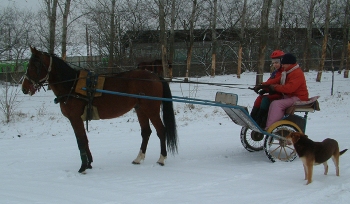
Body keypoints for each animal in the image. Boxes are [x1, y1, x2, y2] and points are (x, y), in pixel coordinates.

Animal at [21, 46, 178, 174]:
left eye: (35, 65)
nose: (24, 88)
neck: (71, 85)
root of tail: (155, 76)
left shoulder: (75, 118)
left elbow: (81, 140)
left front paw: (83, 167)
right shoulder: (77, 119)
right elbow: (84, 140)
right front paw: (89, 163)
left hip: (151, 109)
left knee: (161, 130)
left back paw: (162, 158)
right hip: (140, 109)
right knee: (146, 132)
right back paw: (138, 158)